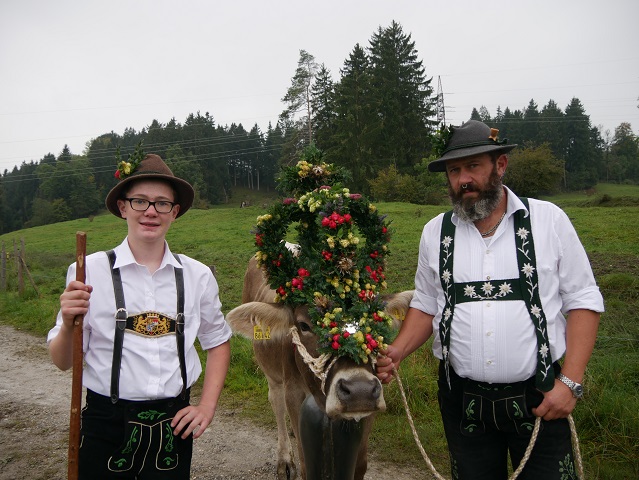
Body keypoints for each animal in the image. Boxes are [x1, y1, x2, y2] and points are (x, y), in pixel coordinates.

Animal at [226, 255, 416, 480]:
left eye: (376, 319)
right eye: (304, 326)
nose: (359, 391)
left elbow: (360, 465)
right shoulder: (293, 391)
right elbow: (306, 465)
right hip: (271, 372)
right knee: (276, 402)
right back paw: (284, 460)